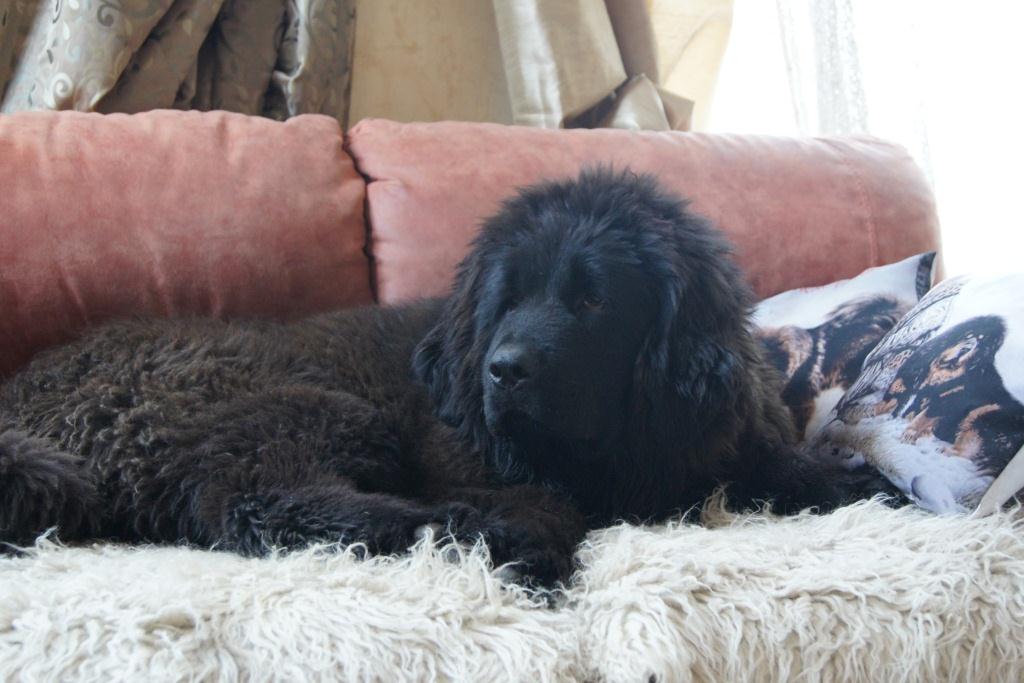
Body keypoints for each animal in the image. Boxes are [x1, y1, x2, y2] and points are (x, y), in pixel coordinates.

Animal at [0, 169, 850, 584]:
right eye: (506, 298)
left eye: (593, 300)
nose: (504, 371)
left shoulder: (718, 441)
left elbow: (788, 466)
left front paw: (853, 480)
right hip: (306, 406)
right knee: (263, 504)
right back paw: (495, 530)